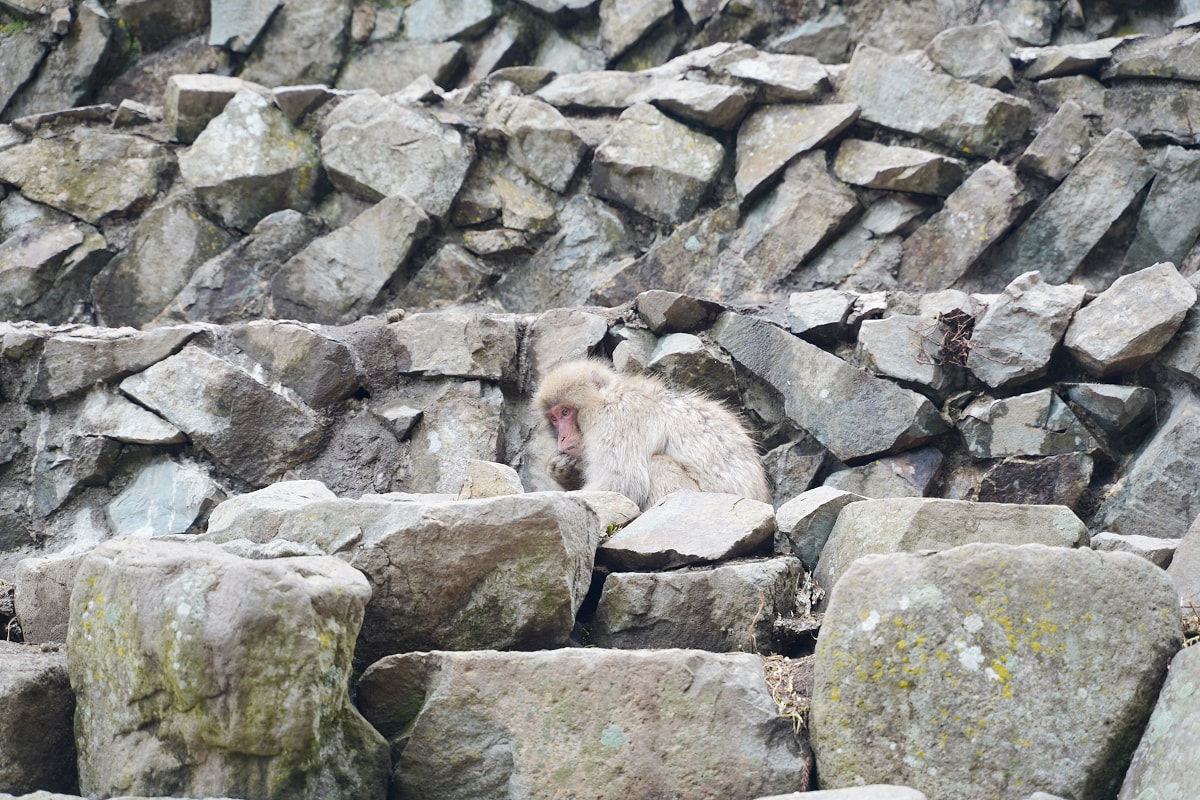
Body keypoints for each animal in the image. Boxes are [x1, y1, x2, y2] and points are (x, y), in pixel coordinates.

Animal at [532, 359, 772, 510]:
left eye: (565, 412)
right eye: (553, 418)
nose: (562, 437)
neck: (603, 399)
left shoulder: (616, 418)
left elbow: (624, 482)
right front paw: (562, 471)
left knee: (658, 465)